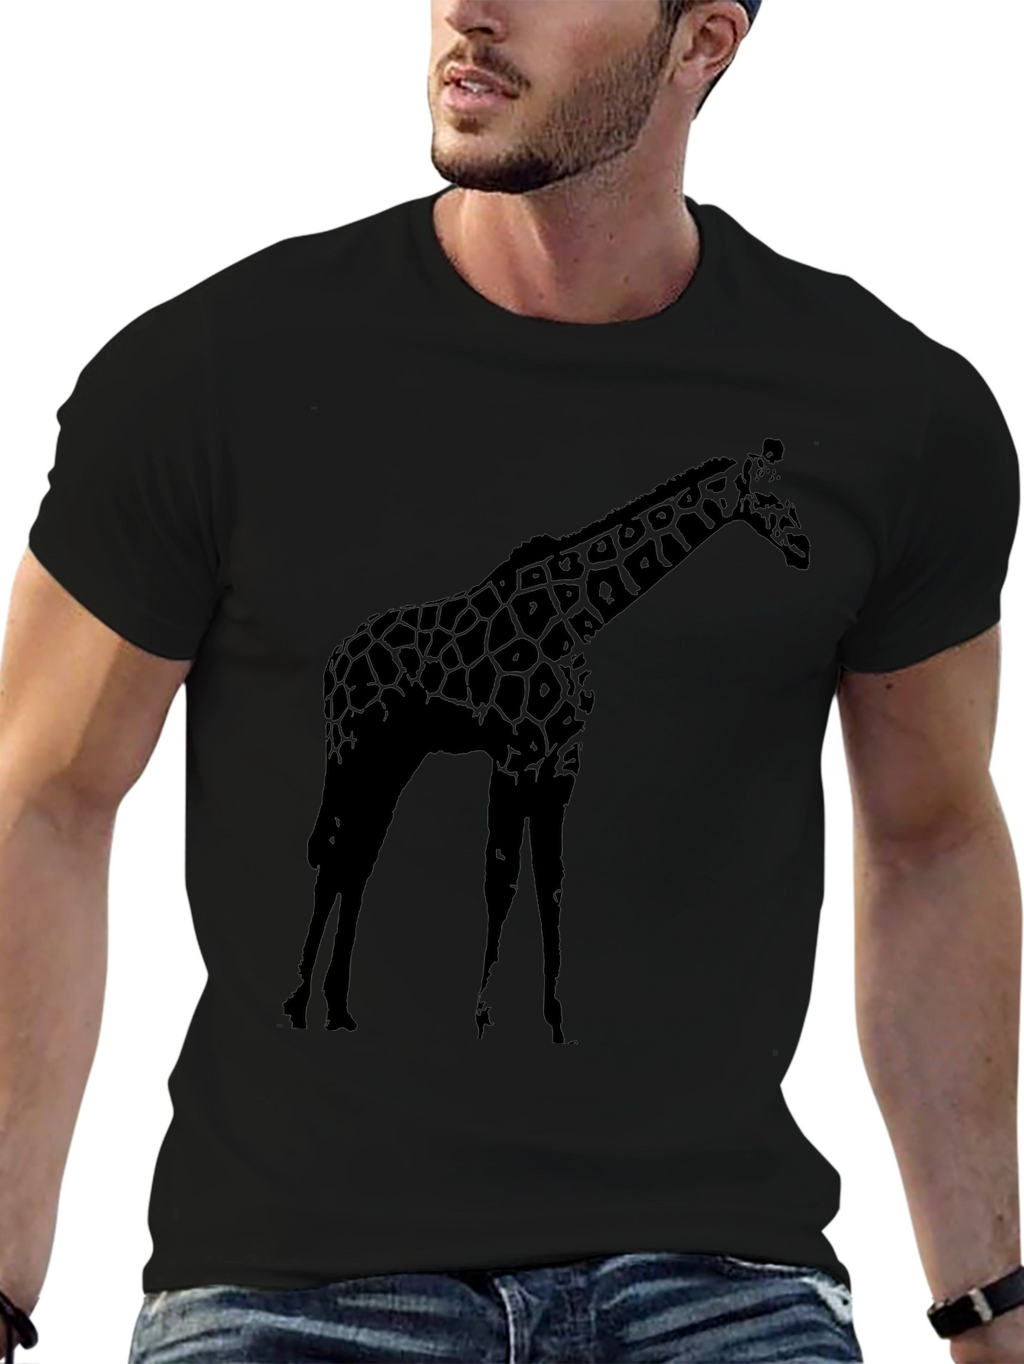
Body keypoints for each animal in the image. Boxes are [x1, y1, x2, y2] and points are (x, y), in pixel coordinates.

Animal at [282, 438, 810, 1041]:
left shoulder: (562, 755)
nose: (804, 548)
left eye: (790, 491)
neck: (580, 614)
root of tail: (335, 658)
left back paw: (338, 1008)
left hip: (394, 758)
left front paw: (556, 1019)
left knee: (359, 857)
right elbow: (502, 877)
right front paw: (485, 1015)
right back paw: (298, 1003)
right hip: (351, 746)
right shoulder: (515, 751)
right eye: (769, 496)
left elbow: (550, 880)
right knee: (334, 855)